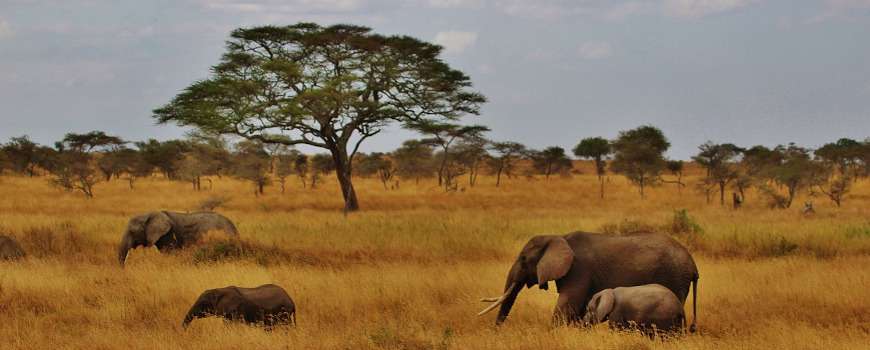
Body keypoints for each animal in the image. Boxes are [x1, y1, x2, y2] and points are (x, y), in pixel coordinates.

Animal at [480, 231, 700, 330]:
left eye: (524, 259)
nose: (496, 330)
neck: (558, 237)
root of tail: (693, 264)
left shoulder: (578, 270)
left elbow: (567, 306)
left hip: (675, 277)